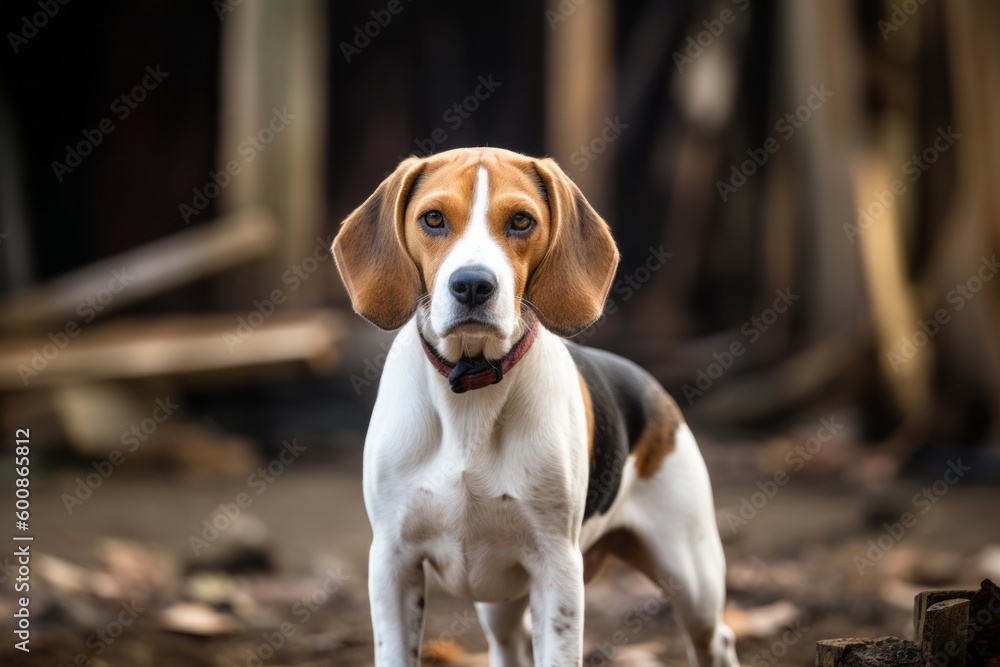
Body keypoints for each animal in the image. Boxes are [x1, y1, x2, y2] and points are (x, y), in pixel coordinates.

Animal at [332, 147, 740, 667]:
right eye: (433, 219)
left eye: (522, 221)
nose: (472, 285)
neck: (471, 386)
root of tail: (652, 386)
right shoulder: (392, 562)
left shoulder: (557, 567)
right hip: (501, 604)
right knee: (509, 644)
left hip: (691, 577)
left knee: (715, 638)